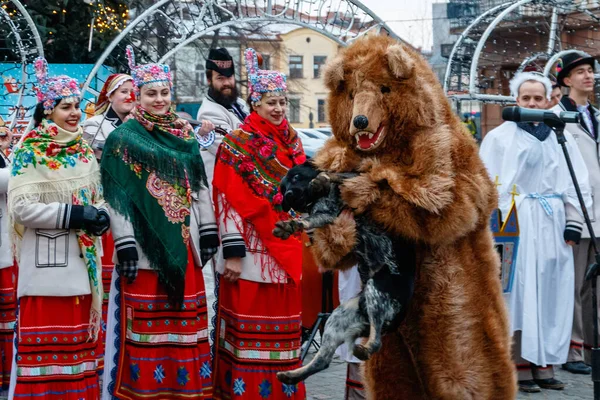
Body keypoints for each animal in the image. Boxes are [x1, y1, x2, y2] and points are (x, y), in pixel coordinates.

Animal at [274, 161, 414, 386]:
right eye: (282, 187)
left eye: (295, 177)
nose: (288, 195)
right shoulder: (326, 214)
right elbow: (308, 220)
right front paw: (289, 225)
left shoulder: (349, 190)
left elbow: (336, 175)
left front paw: (322, 179)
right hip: (337, 318)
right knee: (323, 360)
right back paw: (291, 375)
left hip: (376, 290)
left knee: (376, 342)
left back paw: (364, 349)